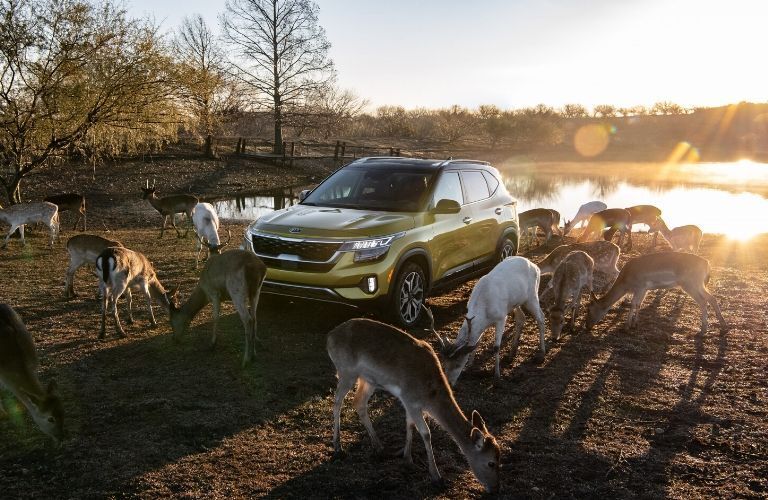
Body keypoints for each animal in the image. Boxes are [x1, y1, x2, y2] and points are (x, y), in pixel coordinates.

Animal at [327, 317, 500, 492]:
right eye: (491, 463)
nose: (496, 489)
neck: (429, 396)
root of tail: (330, 336)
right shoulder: (409, 399)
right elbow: (425, 433)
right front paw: (436, 476)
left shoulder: (409, 403)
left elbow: (409, 424)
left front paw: (407, 458)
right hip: (346, 370)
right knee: (337, 402)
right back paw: (338, 446)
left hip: (368, 379)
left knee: (359, 403)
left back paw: (378, 445)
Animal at [430, 256, 547, 384]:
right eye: (444, 363)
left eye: (458, 363)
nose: (449, 383)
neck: (485, 312)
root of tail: (536, 267)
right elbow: (477, 342)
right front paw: (469, 366)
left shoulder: (501, 317)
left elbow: (496, 347)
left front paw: (497, 376)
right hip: (515, 303)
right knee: (521, 318)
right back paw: (511, 353)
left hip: (532, 296)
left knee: (541, 317)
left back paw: (542, 352)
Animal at [585, 252, 728, 334]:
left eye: (589, 308)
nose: (587, 326)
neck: (626, 282)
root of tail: (707, 264)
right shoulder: (645, 289)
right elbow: (639, 304)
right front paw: (635, 324)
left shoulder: (640, 287)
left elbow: (633, 304)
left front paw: (626, 327)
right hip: (699, 284)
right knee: (712, 298)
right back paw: (723, 325)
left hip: (690, 284)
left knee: (703, 301)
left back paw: (703, 328)